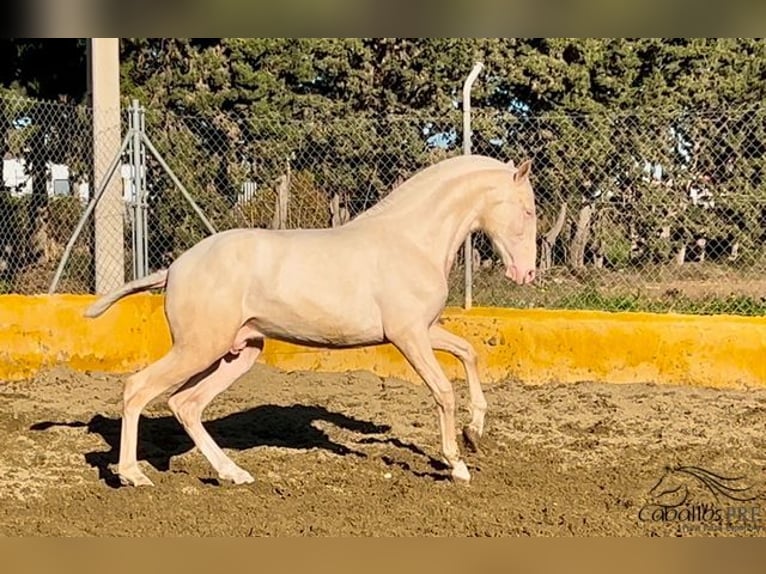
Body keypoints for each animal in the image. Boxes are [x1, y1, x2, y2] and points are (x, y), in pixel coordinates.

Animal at [85, 154, 540, 490]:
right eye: (528, 210)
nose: (527, 273)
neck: (411, 240)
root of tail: (175, 267)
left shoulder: (424, 329)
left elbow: (469, 353)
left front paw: (474, 432)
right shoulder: (408, 335)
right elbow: (443, 390)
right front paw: (457, 464)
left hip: (239, 352)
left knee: (186, 404)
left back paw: (234, 474)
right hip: (198, 348)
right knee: (139, 388)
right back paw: (133, 476)